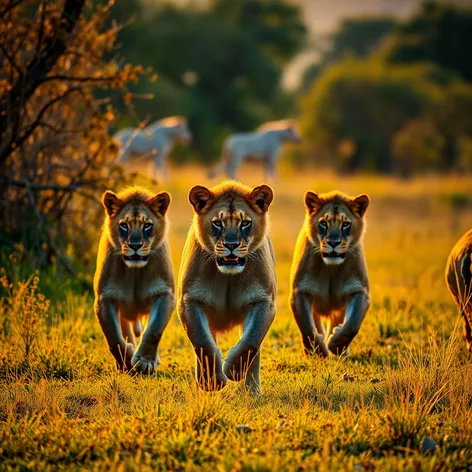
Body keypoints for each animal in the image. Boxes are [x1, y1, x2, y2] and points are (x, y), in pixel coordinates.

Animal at [93, 186, 174, 374]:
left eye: (147, 225)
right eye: (124, 225)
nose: (135, 245)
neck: (134, 272)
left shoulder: (165, 294)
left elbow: (153, 330)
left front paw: (145, 362)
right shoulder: (105, 298)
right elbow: (114, 338)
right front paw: (127, 360)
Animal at [180, 182, 276, 394]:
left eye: (245, 223)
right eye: (218, 223)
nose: (231, 245)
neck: (227, 277)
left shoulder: (264, 301)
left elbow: (250, 341)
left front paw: (234, 371)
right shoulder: (189, 300)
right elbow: (202, 342)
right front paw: (212, 381)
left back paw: (252, 391)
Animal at [290, 190, 370, 356]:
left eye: (345, 224)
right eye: (323, 223)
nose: (333, 243)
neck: (331, 269)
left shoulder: (360, 291)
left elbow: (352, 325)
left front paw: (337, 345)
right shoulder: (299, 291)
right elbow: (307, 328)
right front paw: (318, 351)